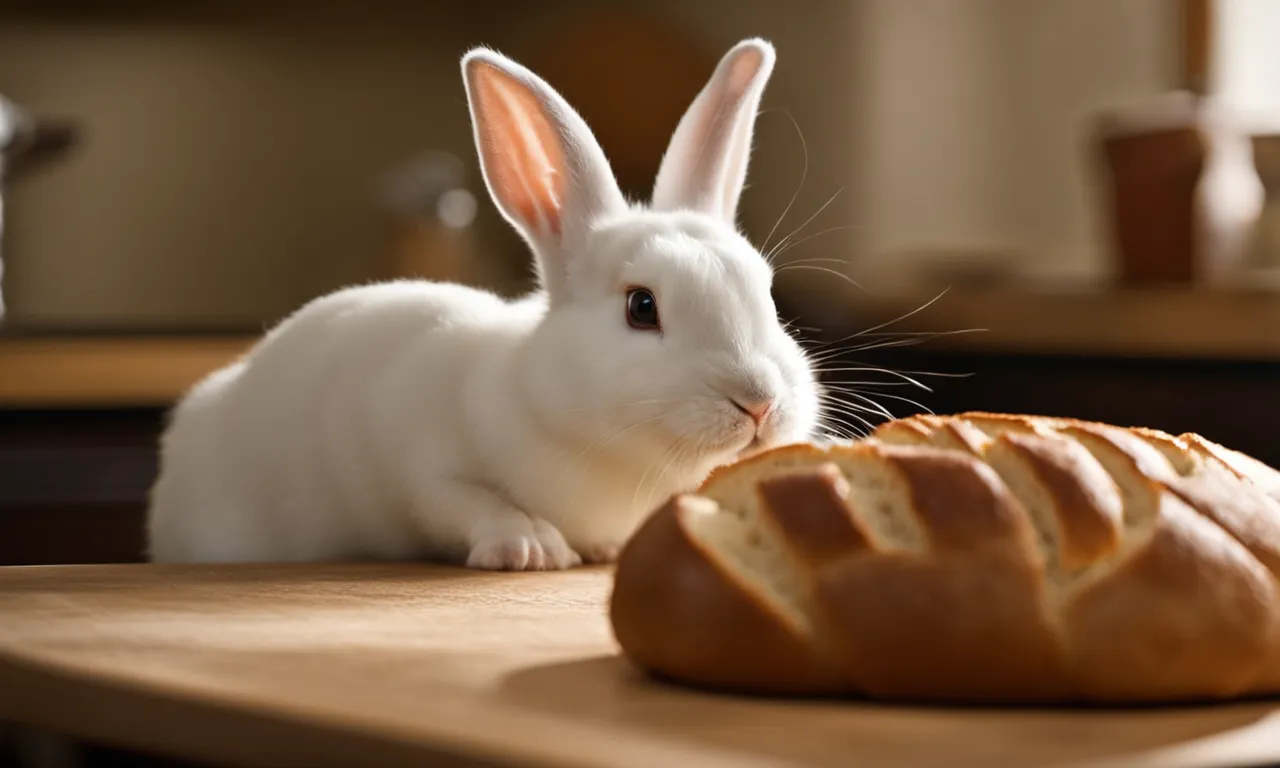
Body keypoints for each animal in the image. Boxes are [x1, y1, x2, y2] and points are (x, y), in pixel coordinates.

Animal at [142, 40, 819, 570]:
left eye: (766, 291)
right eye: (642, 307)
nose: (759, 403)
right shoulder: (424, 467)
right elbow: (464, 501)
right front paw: (531, 545)